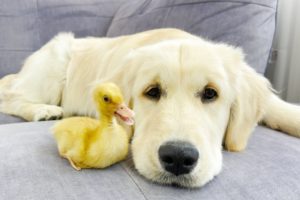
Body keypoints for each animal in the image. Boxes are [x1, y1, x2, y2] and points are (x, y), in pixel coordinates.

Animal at [0, 28, 300, 188]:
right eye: (152, 92)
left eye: (210, 93)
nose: (178, 158)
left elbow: (280, 108)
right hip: (54, 65)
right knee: (11, 96)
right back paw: (43, 110)